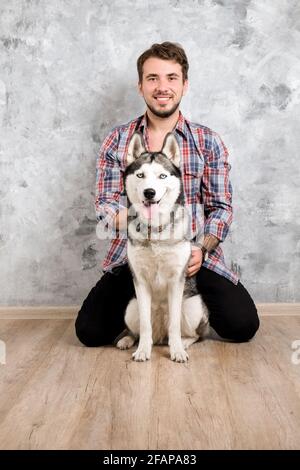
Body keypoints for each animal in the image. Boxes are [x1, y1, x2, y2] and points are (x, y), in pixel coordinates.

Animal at [116, 132, 209, 364]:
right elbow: (144, 325)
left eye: (162, 176)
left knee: (195, 334)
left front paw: (177, 351)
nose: (149, 192)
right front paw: (142, 351)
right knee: (139, 330)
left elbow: (174, 324)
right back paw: (129, 340)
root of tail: (160, 337)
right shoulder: (140, 282)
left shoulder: (176, 280)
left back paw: (183, 343)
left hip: (194, 306)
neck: (155, 230)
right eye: (140, 175)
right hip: (130, 307)